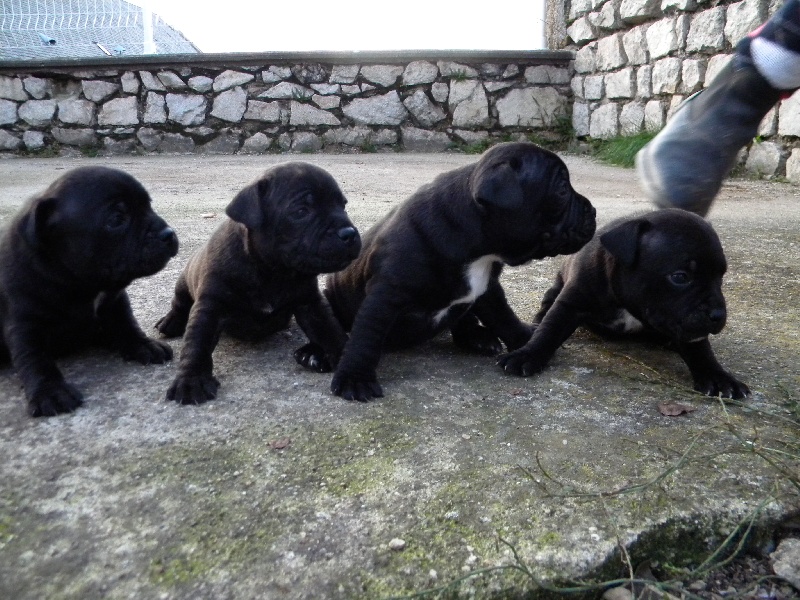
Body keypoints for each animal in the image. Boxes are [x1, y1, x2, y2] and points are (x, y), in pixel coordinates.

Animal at [0, 166, 178, 414]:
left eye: (149, 205)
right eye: (117, 219)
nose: (168, 233)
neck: (83, 284)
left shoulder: (114, 301)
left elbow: (126, 323)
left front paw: (144, 344)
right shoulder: (24, 322)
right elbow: (34, 358)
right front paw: (50, 391)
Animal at [155, 162, 360, 406]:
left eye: (343, 205)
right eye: (301, 211)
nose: (349, 233)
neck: (272, 270)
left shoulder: (310, 303)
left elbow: (330, 330)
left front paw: (347, 362)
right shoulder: (210, 306)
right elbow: (197, 344)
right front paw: (191, 380)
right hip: (184, 282)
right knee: (180, 303)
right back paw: (170, 322)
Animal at [324, 142, 592, 400]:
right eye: (562, 190)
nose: (592, 209)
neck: (480, 248)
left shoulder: (487, 289)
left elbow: (503, 315)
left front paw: (526, 341)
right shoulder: (386, 294)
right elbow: (366, 336)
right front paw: (355, 378)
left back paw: (478, 337)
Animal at [500, 209, 752, 400]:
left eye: (721, 277)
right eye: (680, 277)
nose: (718, 314)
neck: (626, 302)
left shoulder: (689, 327)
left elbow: (701, 350)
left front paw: (718, 377)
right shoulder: (570, 304)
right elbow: (550, 330)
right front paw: (527, 354)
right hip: (555, 289)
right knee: (545, 310)